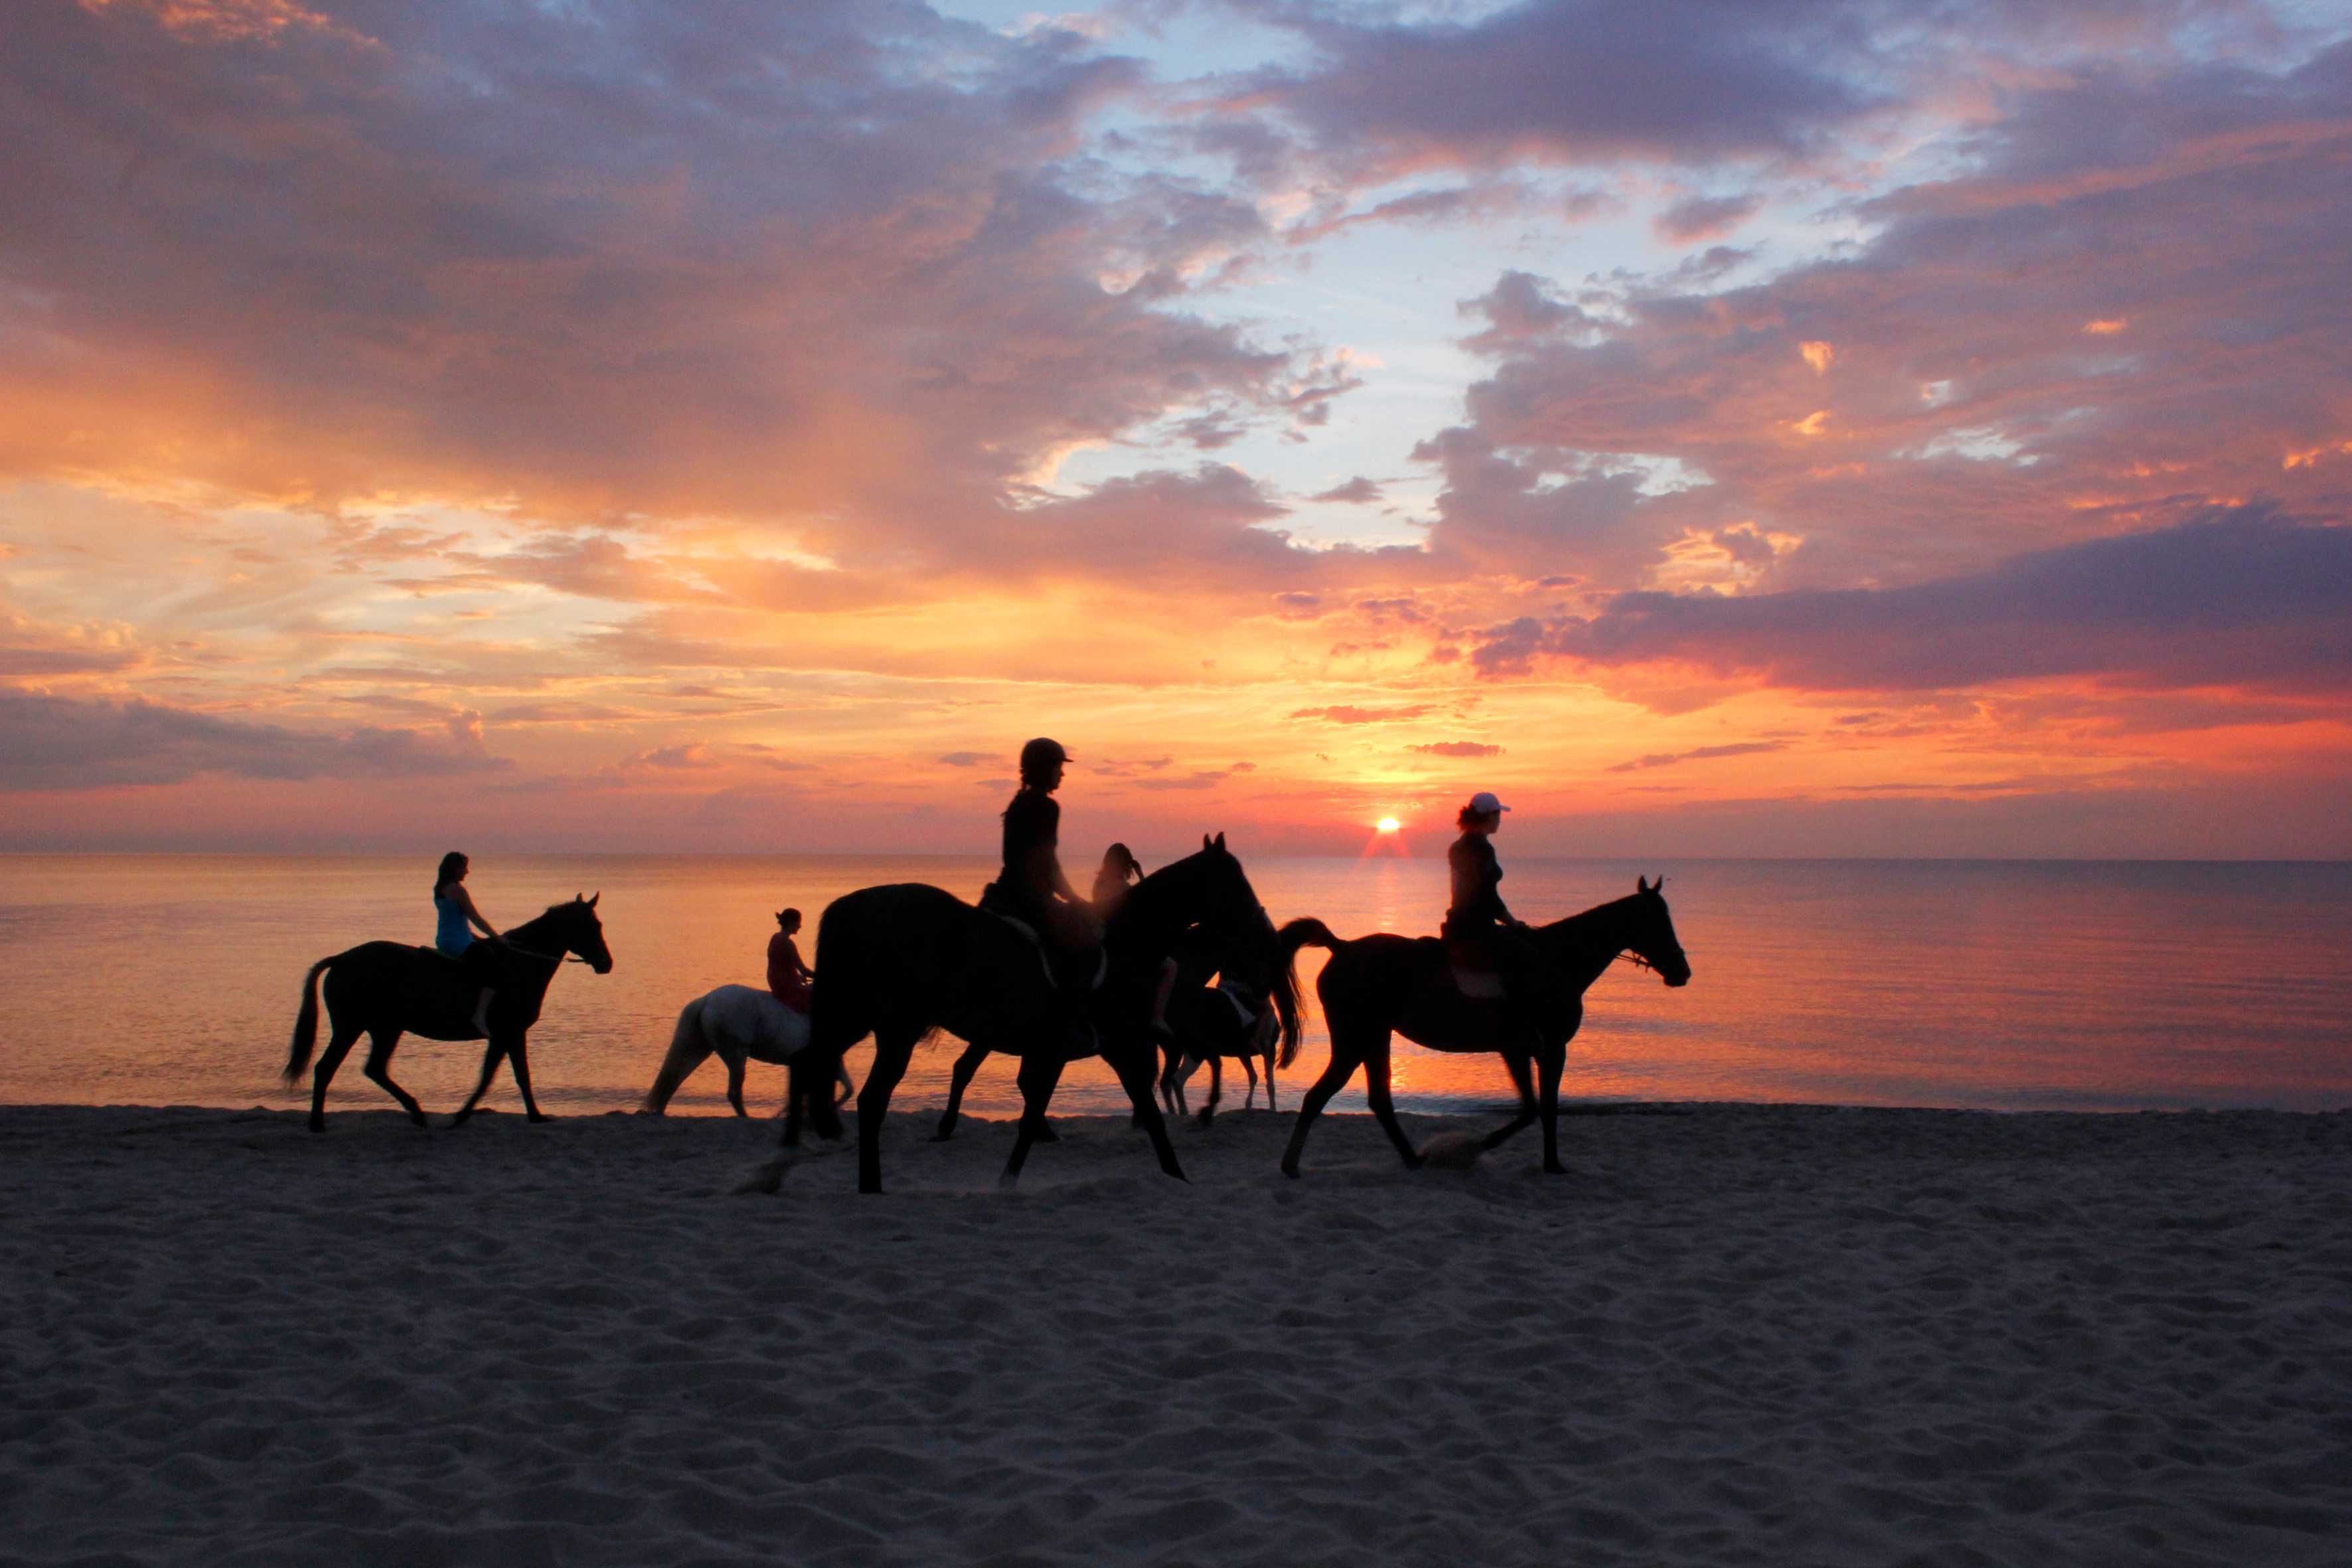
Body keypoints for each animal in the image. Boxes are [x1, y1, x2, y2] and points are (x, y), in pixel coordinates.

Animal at [281, 888, 616, 1133]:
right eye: (593, 926)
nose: (606, 963)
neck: (520, 964)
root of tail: (340, 960)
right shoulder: (509, 1031)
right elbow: (505, 1076)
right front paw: (472, 1115)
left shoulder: (505, 1035)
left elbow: (504, 1075)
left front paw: (522, 1115)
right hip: (353, 1026)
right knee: (328, 1068)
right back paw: (318, 1124)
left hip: (384, 1028)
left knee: (374, 1069)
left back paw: (415, 1113)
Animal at [644, 982, 856, 1114]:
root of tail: (707, 1000)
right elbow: (843, 1090)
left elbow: (845, 1089)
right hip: (736, 1054)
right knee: (733, 1092)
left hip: (700, 1050)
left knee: (675, 1078)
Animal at [1289, 884, 1693, 1175]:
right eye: (1658, 922)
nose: (1682, 972)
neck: (1556, 961)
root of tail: (1342, 948)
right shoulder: (1547, 1049)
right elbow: (1543, 1109)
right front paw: (1480, 1151)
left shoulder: (1520, 1051)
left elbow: (1534, 1109)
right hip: (1355, 1039)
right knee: (1319, 1096)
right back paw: (1291, 1166)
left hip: (1375, 1038)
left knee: (1379, 1101)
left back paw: (1414, 1160)